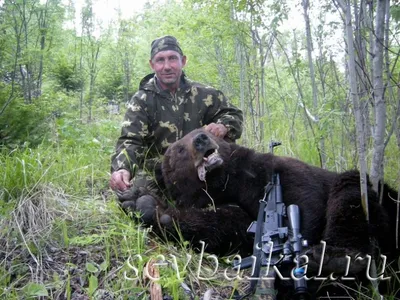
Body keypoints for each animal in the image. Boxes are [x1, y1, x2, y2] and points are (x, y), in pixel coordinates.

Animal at [128, 129, 400, 298]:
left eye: (202, 130)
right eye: (179, 150)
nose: (202, 139)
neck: (226, 184)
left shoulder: (272, 170)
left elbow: (306, 199)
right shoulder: (234, 212)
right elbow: (220, 229)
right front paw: (142, 203)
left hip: (379, 197)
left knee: (352, 190)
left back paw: (337, 258)